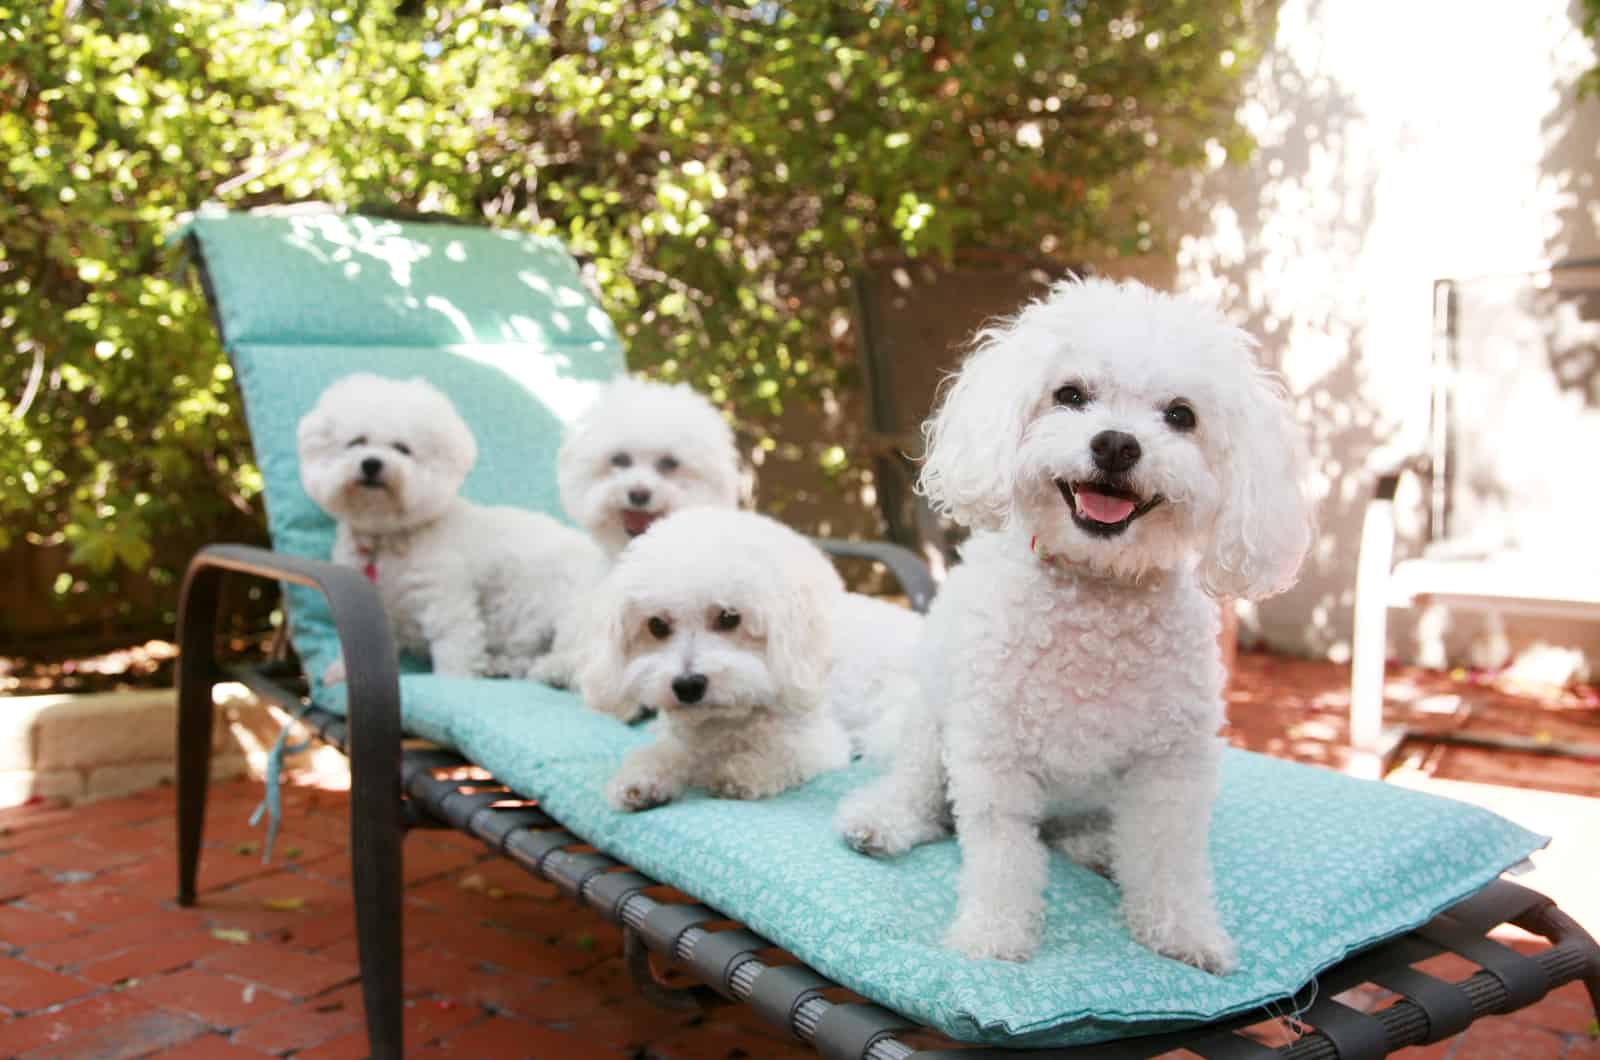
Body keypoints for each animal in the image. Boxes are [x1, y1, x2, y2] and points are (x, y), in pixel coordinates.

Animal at [297, 377, 601, 685]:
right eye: (356, 442)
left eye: (403, 448)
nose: (371, 463)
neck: (389, 537)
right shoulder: (371, 605)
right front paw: (341, 671)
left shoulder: (445, 598)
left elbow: (453, 647)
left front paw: (453, 679)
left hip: (573, 615)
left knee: (575, 657)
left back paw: (548, 669)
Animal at [582, 512, 921, 810]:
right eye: (656, 626)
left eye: (729, 617)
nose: (688, 685)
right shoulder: (686, 739)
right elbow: (665, 753)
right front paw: (642, 778)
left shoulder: (820, 742)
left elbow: (782, 754)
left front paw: (742, 771)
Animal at [838, 278, 1312, 973]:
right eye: (1070, 395)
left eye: (1181, 415)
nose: (1116, 444)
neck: (1095, 591)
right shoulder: (994, 755)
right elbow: (1001, 859)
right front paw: (993, 936)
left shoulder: (1169, 766)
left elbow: (1168, 859)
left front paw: (1182, 931)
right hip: (931, 723)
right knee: (922, 793)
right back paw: (882, 820)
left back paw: (1098, 847)